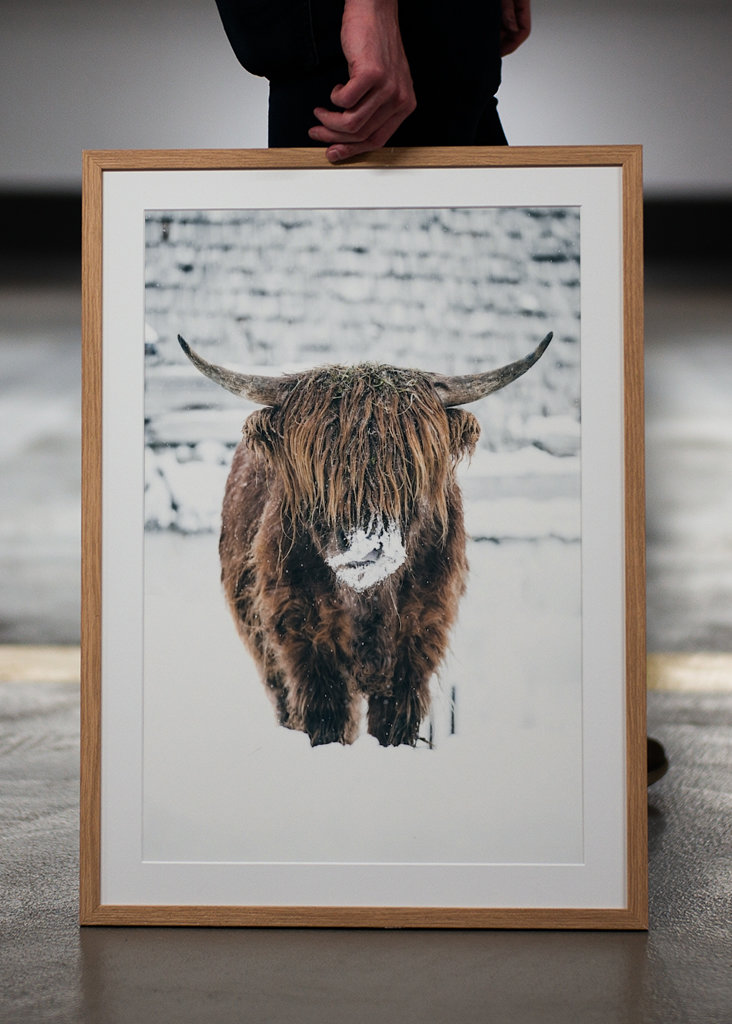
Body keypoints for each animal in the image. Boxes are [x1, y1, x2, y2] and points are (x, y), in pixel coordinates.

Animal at [178, 332, 552, 747]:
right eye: (321, 467)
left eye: (408, 466)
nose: (367, 547)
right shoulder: (302, 639)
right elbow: (326, 717)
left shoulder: (420, 637)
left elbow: (394, 722)